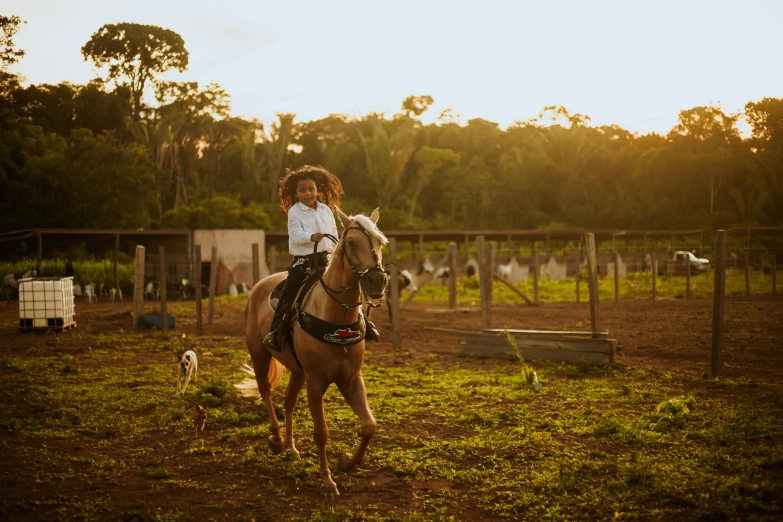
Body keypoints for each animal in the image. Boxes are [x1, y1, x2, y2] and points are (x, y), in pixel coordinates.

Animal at [236, 205, 388, 494]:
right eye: (352, 243)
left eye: (380, 242)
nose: (377, 281)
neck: (336, 318)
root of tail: (258, 287)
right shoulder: (316, 382)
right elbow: (321, 433)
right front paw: (327, 481)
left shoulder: (350, 378)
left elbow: (369, 425)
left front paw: (347, 462)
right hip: (260, 356)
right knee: (266, 391)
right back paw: (276, 438)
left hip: (297, 372)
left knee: (288, 401)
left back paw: (290, 446)